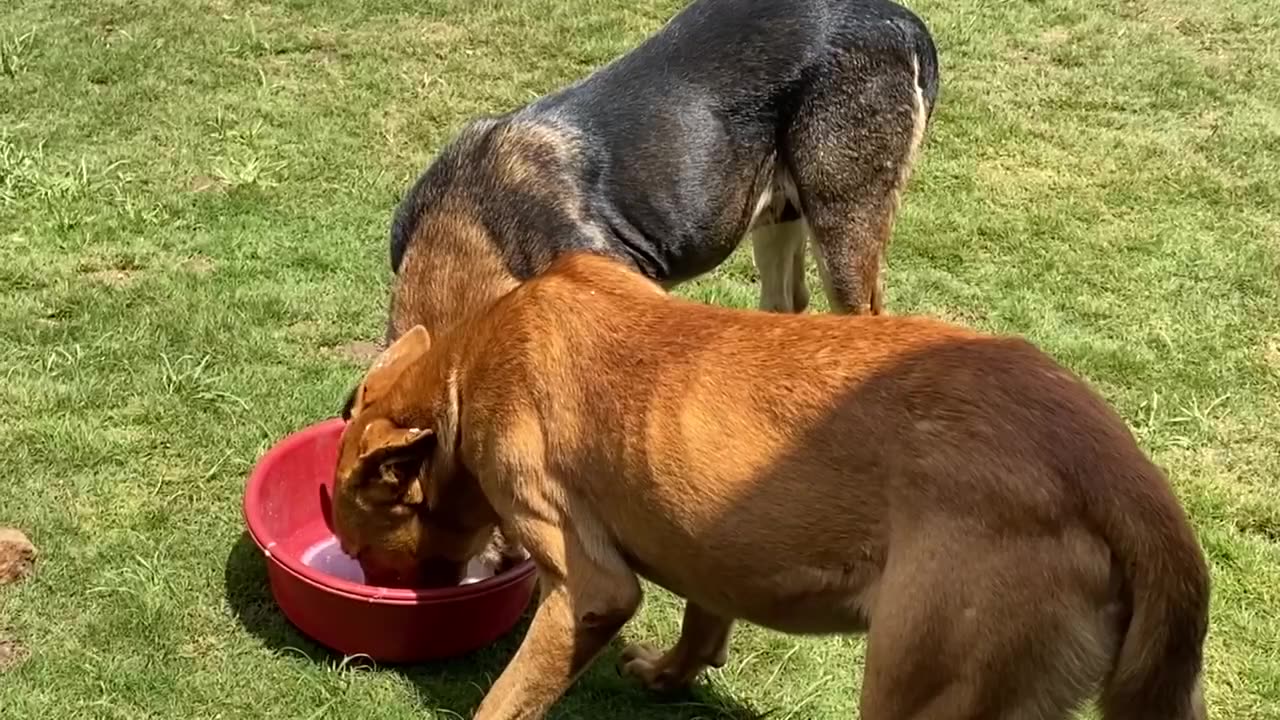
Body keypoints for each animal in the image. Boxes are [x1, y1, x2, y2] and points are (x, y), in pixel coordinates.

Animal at [330, 251, 1208, 717]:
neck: (468, 368)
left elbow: (507, 697)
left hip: (917, 684)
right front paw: (672, 674)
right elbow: (703, 619)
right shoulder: (706, 539)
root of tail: (1116, 472)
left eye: (362, 547)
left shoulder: (588, 589)